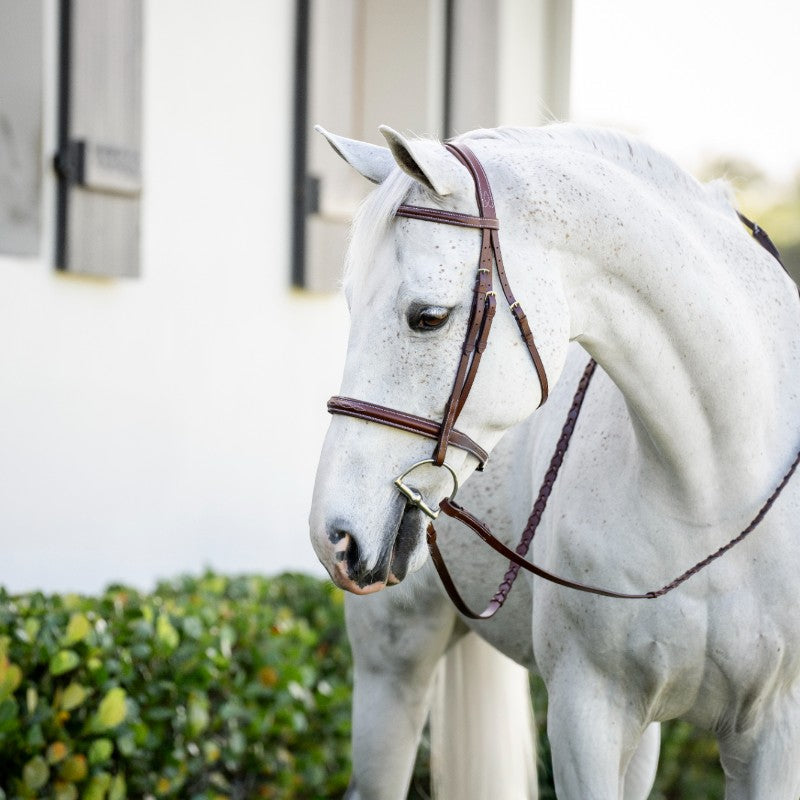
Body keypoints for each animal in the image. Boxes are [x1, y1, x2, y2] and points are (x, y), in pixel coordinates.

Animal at [309, 123, 800, 799]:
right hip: (393, 668)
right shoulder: (586, 714)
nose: (334, 535)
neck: (712, 498)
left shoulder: (773, 735)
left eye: (428, 318)